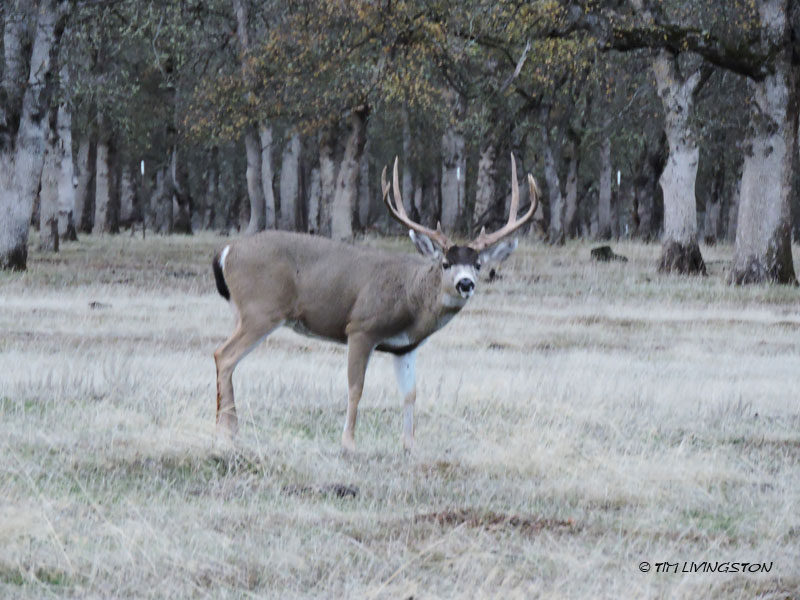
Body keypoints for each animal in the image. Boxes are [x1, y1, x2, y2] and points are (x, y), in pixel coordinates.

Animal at [212, 155, 539, 451]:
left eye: (478, 265)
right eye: (445, 263)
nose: (466, 284)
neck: (411, 298)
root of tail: (226, 252)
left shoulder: (405, 347)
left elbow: (410, 394)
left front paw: (410, 445)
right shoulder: (361, 328)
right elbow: (356, 387)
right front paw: (348, 444)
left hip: (244, 313)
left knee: (223, 356)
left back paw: (227, 429)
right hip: (262, 310)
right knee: (224, 356)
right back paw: (228, 433)